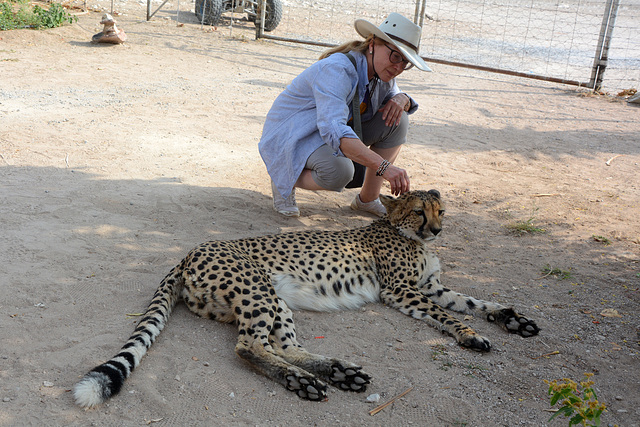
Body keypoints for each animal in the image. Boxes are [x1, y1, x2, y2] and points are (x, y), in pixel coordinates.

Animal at [72, 191, 536, 408]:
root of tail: (189, 251)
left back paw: (336, 372)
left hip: (276, 300)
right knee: (250, 345)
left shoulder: (430, 286)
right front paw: (469, 335)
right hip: (257, 290)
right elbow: (447, 314)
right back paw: (304, 382)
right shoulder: (402, 290)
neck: (406, 234)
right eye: (419, 212)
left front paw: (511, 319)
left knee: (284, 346)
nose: (437, 230)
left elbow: (472, 301)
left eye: (441, 211)